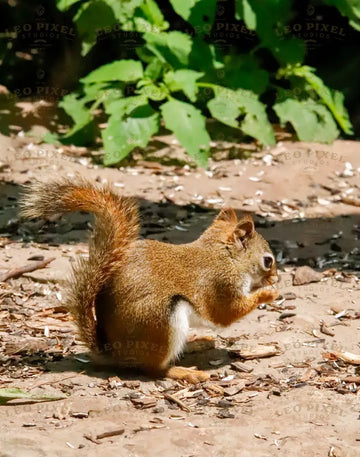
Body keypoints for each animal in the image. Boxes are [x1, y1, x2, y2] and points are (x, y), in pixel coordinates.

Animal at [19, 176, 278, 382]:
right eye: (268, 261)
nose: (276, 277)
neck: (224, 256)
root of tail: (113, 353)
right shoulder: (220, 283)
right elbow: (226, 313)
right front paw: (268, 293)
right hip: (161, 320)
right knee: (153, 369)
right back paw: (183, 372)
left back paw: (197, 343)